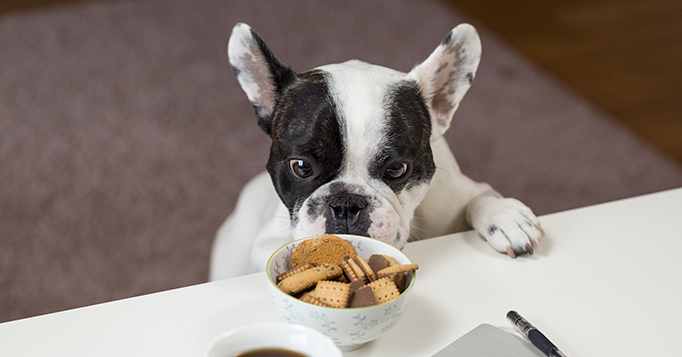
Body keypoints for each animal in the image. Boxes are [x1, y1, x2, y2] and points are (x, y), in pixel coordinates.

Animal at [207, 22, 540, 280]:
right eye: (301, 167)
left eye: (396, 169)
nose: (345, 203)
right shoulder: (267, 240)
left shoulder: (458, 194)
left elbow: (480, 198)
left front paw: (506, 217)